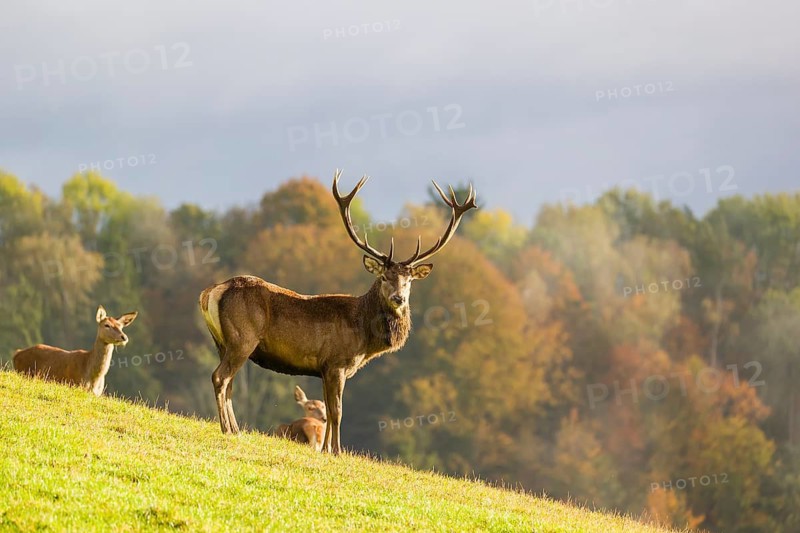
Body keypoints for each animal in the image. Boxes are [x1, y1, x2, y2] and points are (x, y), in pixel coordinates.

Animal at [198, 169, 477, 453]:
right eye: (384, 277)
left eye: (408, 280)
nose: (398, 298)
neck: (364, 336)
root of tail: (211, 292)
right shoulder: (336, 363)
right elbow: (337, 411)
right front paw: (338, 451)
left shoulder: (323, 368)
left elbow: (328, 410)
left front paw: (325, 450)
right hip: (243, 338)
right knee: (220, 377)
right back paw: (227, 429)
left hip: (222, 342)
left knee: (229, 383)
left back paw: (235, 429)